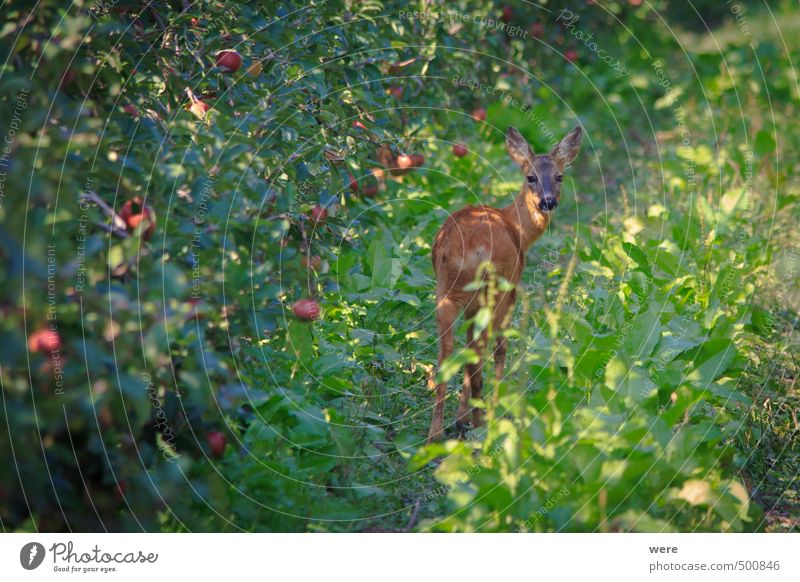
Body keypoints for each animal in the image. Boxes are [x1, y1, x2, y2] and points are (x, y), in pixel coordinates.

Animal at [428, 126, 584, 442]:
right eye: (531, 177)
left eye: (560, 176)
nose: (548, 202)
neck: (517, 227)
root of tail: (469, 248)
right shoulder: (511, 286)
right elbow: (500, 346)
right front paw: (490, 409)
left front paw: (461, 415)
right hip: (495, 288)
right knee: (486, 347)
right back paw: (481, 421)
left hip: (446, 291)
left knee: (449, 352)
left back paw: (437, 433)